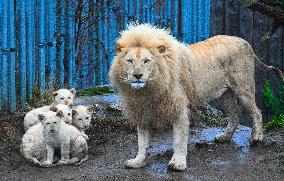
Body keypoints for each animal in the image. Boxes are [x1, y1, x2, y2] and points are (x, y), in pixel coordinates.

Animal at [108, 23, 282, 170]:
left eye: (146, 61)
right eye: (130, 61)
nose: (137, 75)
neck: (146, 91)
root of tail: (246, 43)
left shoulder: (179, 111)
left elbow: (179, 140)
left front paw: (178, 163)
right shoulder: (142, 112)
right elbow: (142, 141)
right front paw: (137, 161)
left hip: (243, 87)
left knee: (257, 111)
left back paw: (257, 138)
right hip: (225, 94)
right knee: (234, 114)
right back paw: (224, 137)